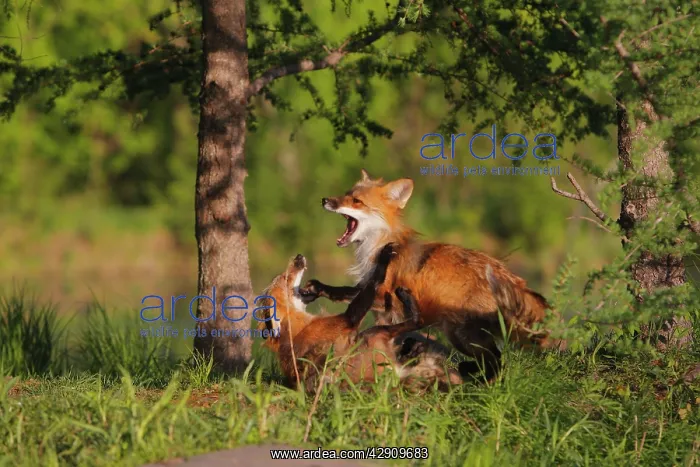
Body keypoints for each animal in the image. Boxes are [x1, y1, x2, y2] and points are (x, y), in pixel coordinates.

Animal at [257, 243, 463, 392]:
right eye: (285, 278)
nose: (299, 257)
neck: (299, 328)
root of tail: (397, 376)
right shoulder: (347, 320)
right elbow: (371, 285)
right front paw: (384, 257)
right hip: (374, 333)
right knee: (417, 321)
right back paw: (405, 300)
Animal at [298, 169, 563, 380]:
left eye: (356, 201)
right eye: (345, 194)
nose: (325, 200)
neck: (376, 246)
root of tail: (513, 278)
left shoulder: (386, 298)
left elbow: (351, 297)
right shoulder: (380, 306)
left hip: (461, 335)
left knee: (497, 361)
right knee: (494, 360)